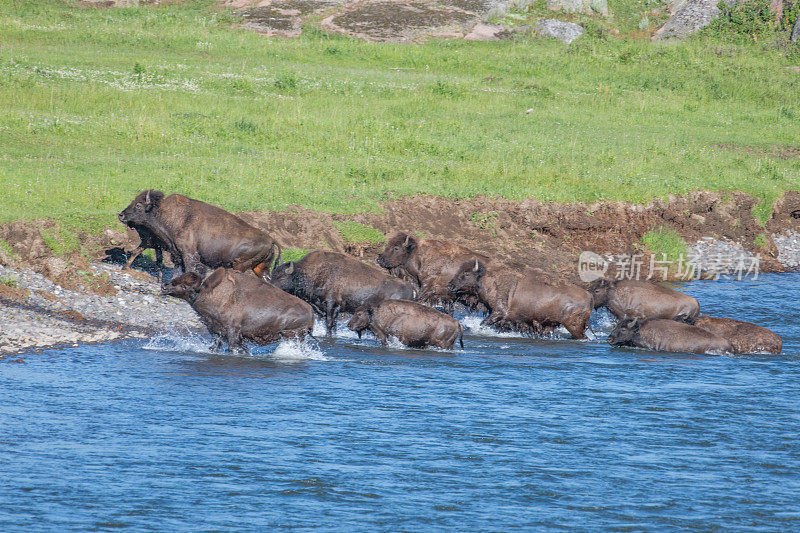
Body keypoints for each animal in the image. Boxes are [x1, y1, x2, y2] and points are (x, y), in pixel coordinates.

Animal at [117, 188, 282, 278]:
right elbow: (177, 271)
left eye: (139, 205)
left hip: (239, 265)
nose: (121, 215)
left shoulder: (189, 254)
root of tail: (271, 240)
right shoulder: (177, 254)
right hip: (260, 268)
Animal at [162, 266, 312, 354]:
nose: (165, 286)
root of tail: (311, 312)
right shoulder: (217, 331)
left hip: (292, 335)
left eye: (184, 286)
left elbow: (233, 348)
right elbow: (215, 347)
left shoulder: (233, 330)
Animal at [270, 249, 416, 332]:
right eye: (272, 274)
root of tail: (411, 288)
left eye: (282, 277)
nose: (271, 286)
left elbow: (329, 324)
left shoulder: (331, 305)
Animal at [450, 258, 592, 340]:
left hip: (574, 326)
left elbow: (483, 323)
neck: (488, 278)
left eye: (466, 273)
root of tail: (589, 296)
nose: (450, 285)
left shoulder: (500, 312)